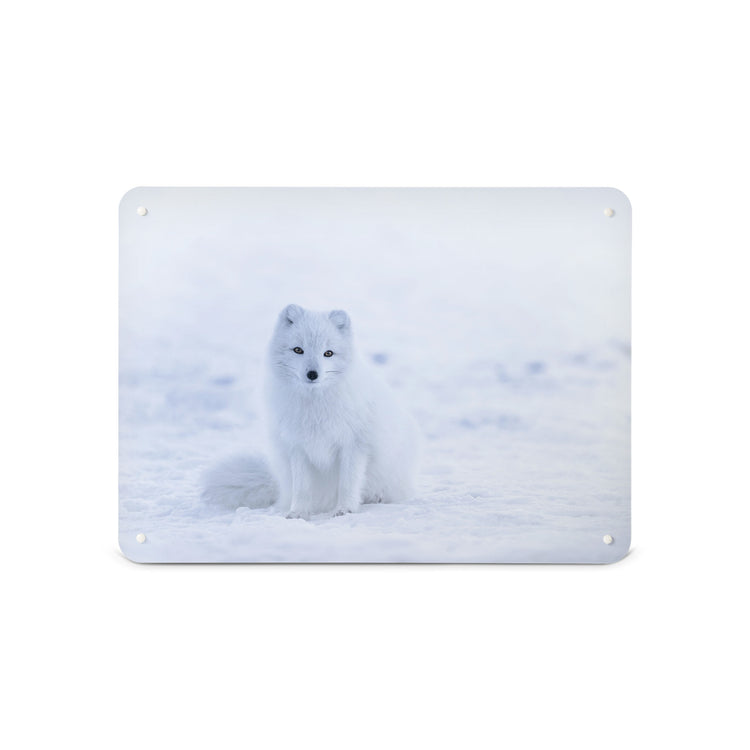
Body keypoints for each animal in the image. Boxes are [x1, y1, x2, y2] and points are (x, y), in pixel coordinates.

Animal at [202, 304, 420, 519]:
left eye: (328, 353)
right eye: (298, 350)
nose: (312, 374)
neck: (315, 406)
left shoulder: (354, 445)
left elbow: (348, 483)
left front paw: (345, 509)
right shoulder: (297, 447)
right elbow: (302, 488)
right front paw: (297, 512)